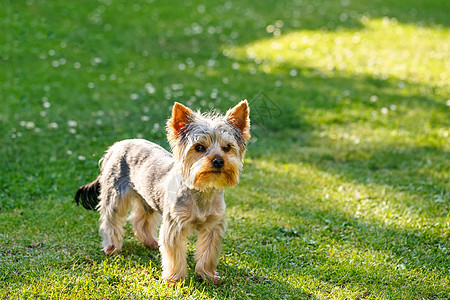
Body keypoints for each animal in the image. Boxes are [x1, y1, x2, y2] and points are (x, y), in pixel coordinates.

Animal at [74, 100, 250, 284]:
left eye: (227, 147)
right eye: (199, 147)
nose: (218, 161)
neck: (202, 190)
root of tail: (116, 146)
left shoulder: (213, 226)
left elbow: (208, 253)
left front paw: (208, 275)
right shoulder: (174, 225)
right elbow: (174, 254)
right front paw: (174, 280)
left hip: (147, 197)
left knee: (140, 219)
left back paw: (150, 242)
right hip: (115, 193)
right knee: (110, 219)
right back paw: (112, 247)